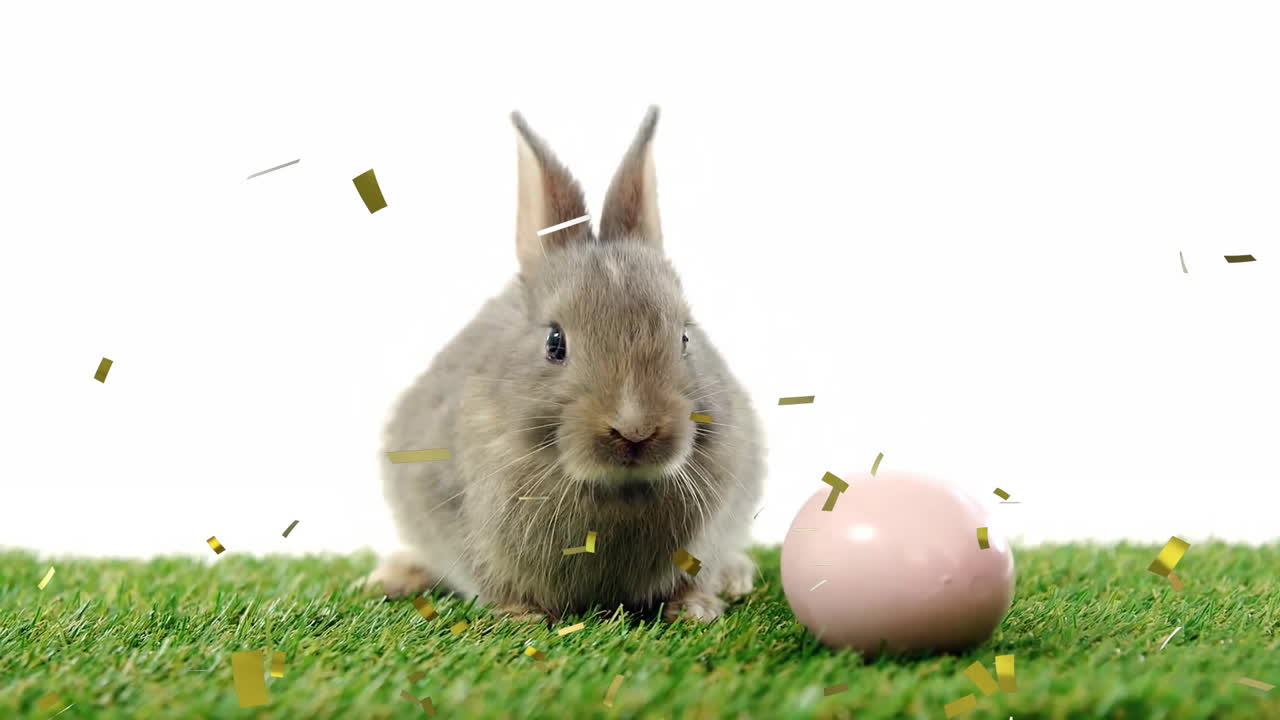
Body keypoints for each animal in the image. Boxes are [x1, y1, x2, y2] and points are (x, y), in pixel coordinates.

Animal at [362, 106, 765, 624]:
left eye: (684, 338)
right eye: (555, 342)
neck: (616, 488)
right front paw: (521, 616)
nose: (636, 430)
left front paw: (697, 609)